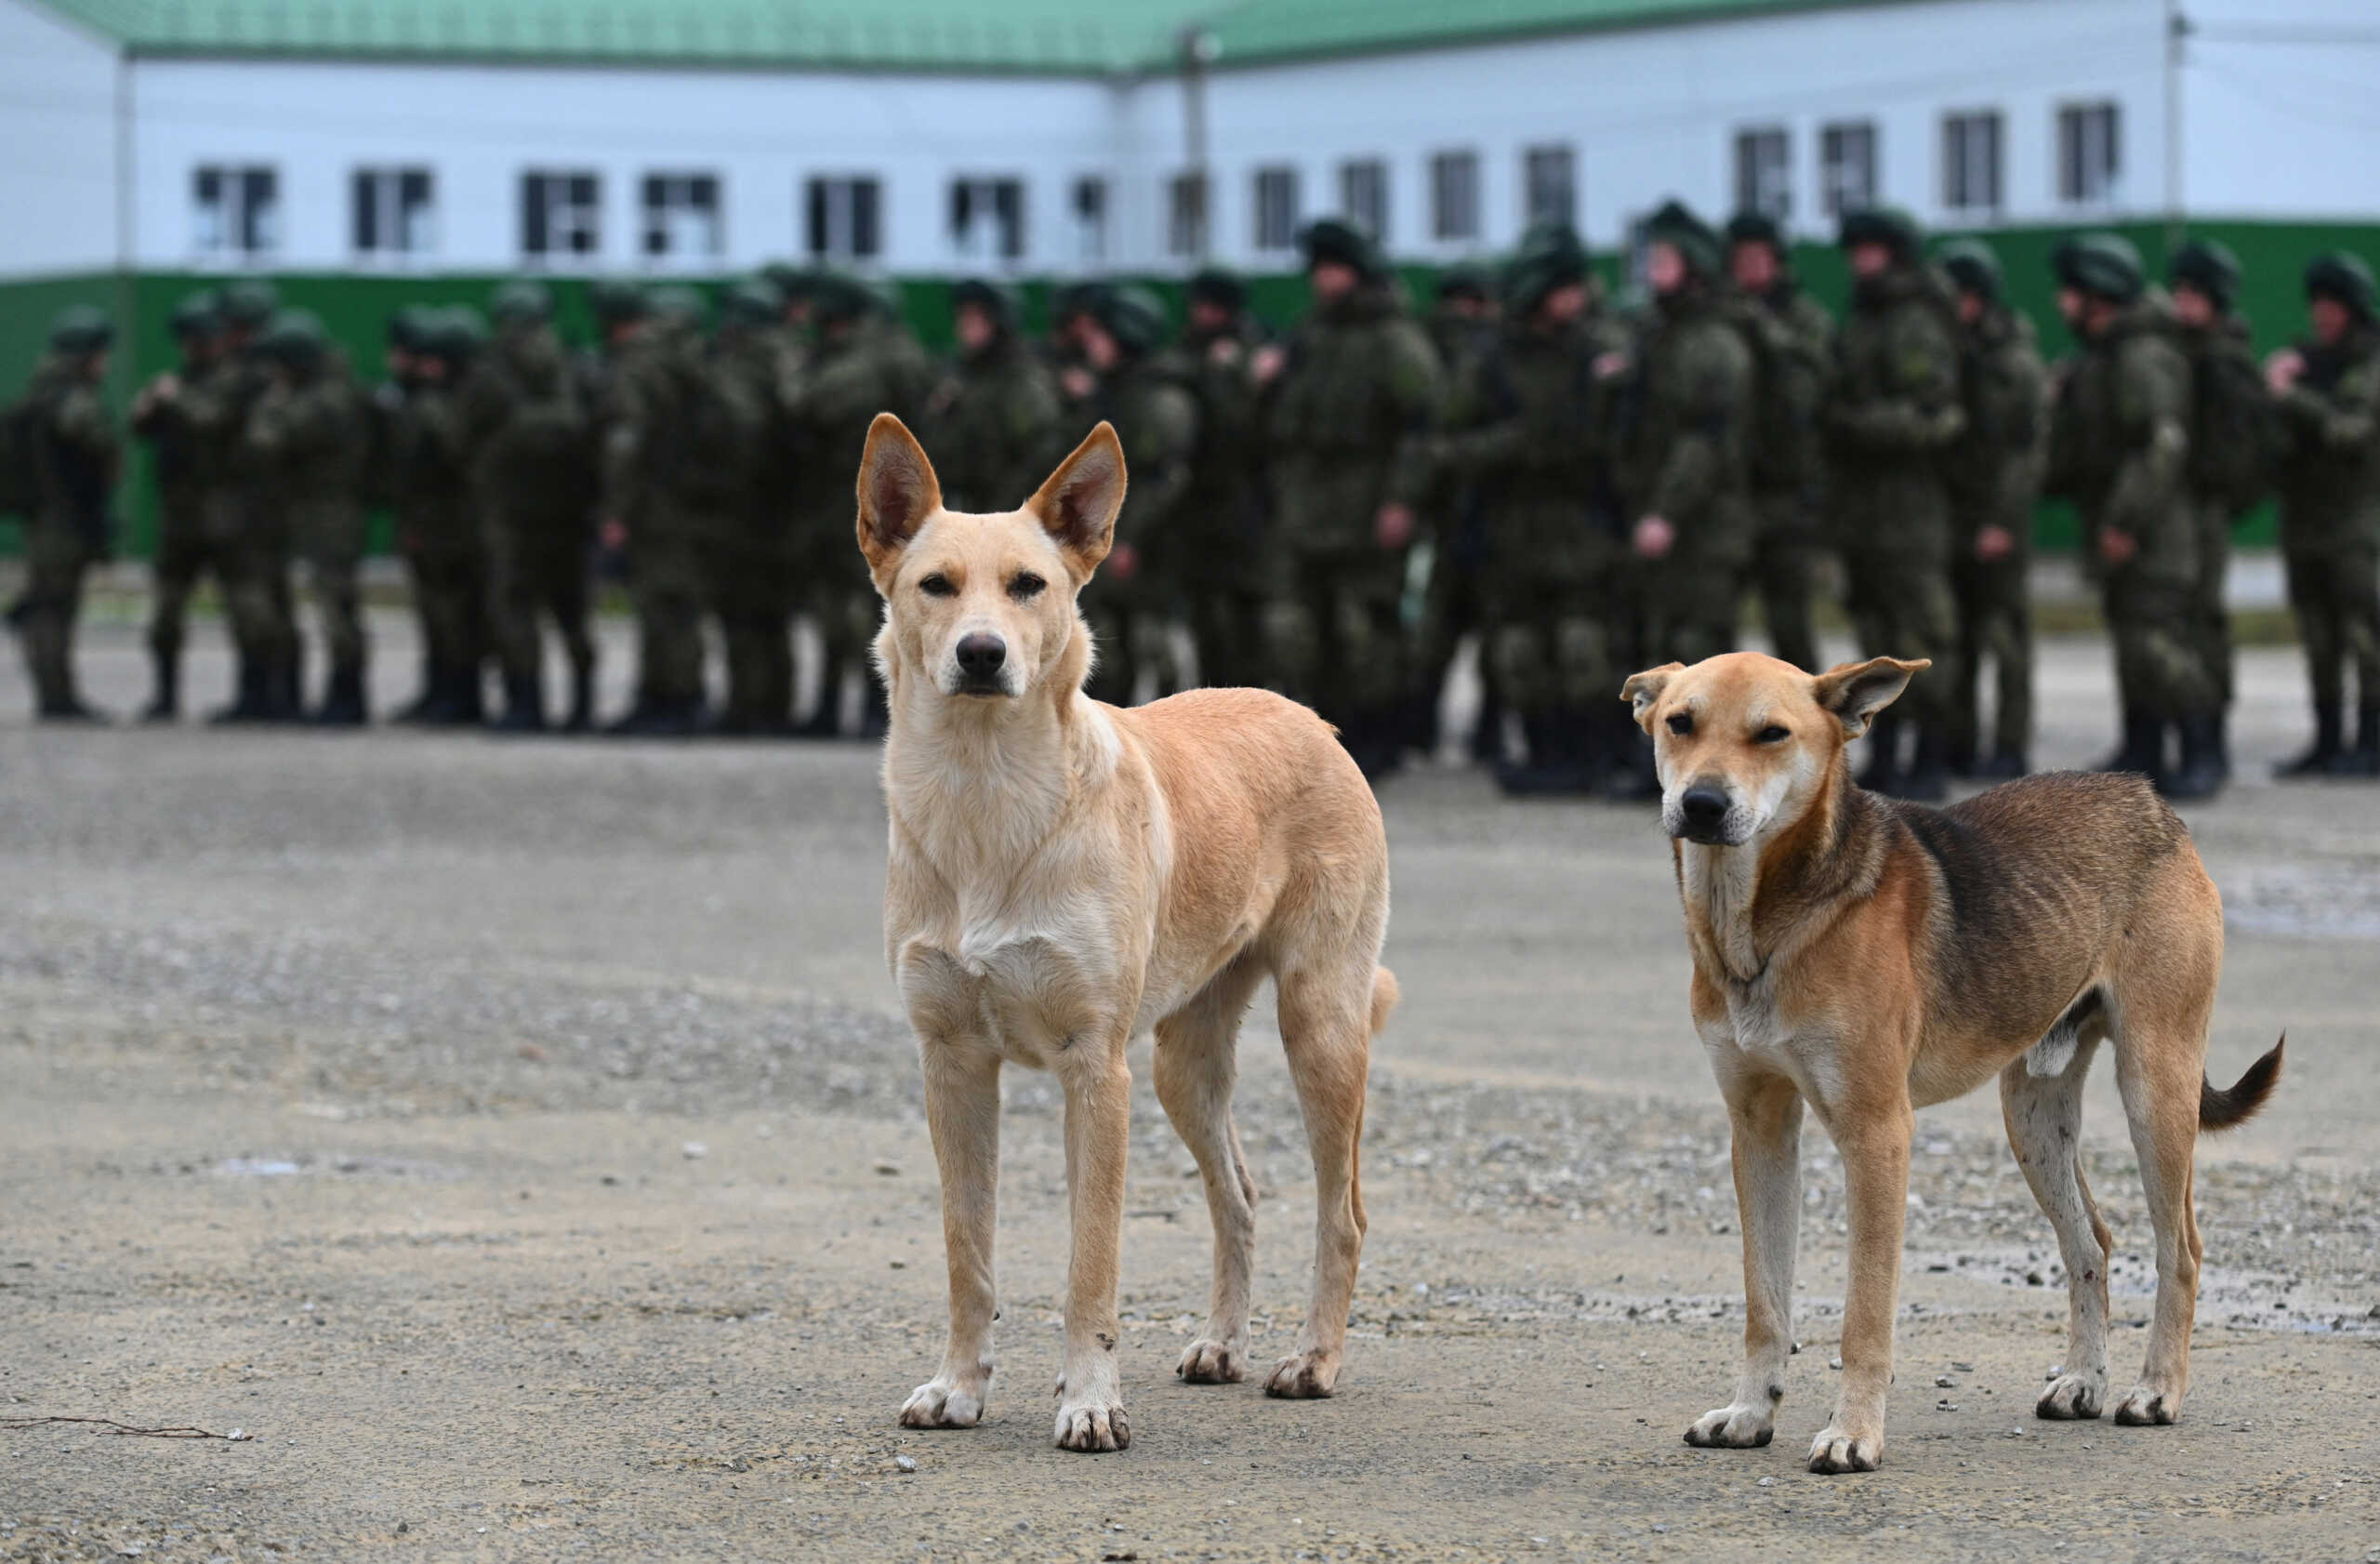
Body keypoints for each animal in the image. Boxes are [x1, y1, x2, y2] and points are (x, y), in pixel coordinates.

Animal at [866, 409, 1399, 1447]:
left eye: (1029, 586)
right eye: (934, 585)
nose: (982, 654)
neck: (990, 803)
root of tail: (1307, 715)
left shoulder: (1094, 1069)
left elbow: (1091, 1263)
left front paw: (1089, 1402)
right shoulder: (951, 1063)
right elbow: (966, 1249)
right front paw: (958, 1387)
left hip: (1318, 1029)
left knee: (1343, 1212)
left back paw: (1312, 1360)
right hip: (1181, 1062)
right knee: (1239, 1196)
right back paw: (1221, 1343)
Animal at [1628, 647, 2275, 1476]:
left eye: (1771, 734)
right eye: (1680, 722)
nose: (1703, 804)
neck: (1770, 921)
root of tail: (2149, 798)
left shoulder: (1878, 1135)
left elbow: (1864, 1317)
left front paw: (1853, 1434)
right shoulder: (1760, 1130)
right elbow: (1764, 1303)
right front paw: (1749, 1413)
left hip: (2154, 1091)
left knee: (2181, 1251)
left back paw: (2156, 1391)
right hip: (2033, 1119)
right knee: (2091, 1243)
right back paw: (2083, 1382)